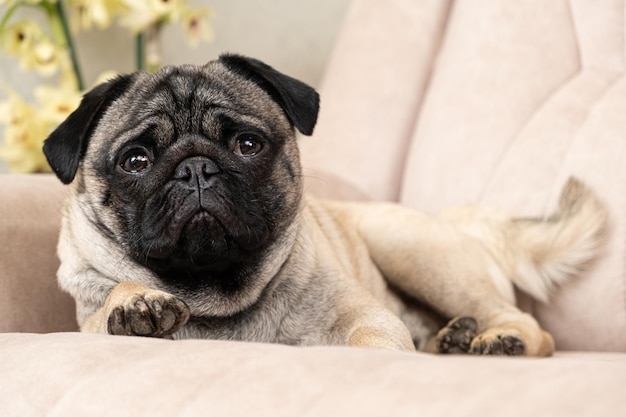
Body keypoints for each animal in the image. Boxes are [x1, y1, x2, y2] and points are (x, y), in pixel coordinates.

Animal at [40, 54, 604, 354]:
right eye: (135, 160)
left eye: (248, 144)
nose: (195, 168)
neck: (218, 296)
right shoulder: (88, 315)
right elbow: (108, 308)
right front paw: (135, 304)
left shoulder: (371, 322)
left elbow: (373, 341)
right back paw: (453, 338)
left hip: (413, 249)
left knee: (524, 320)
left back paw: (500, 339)